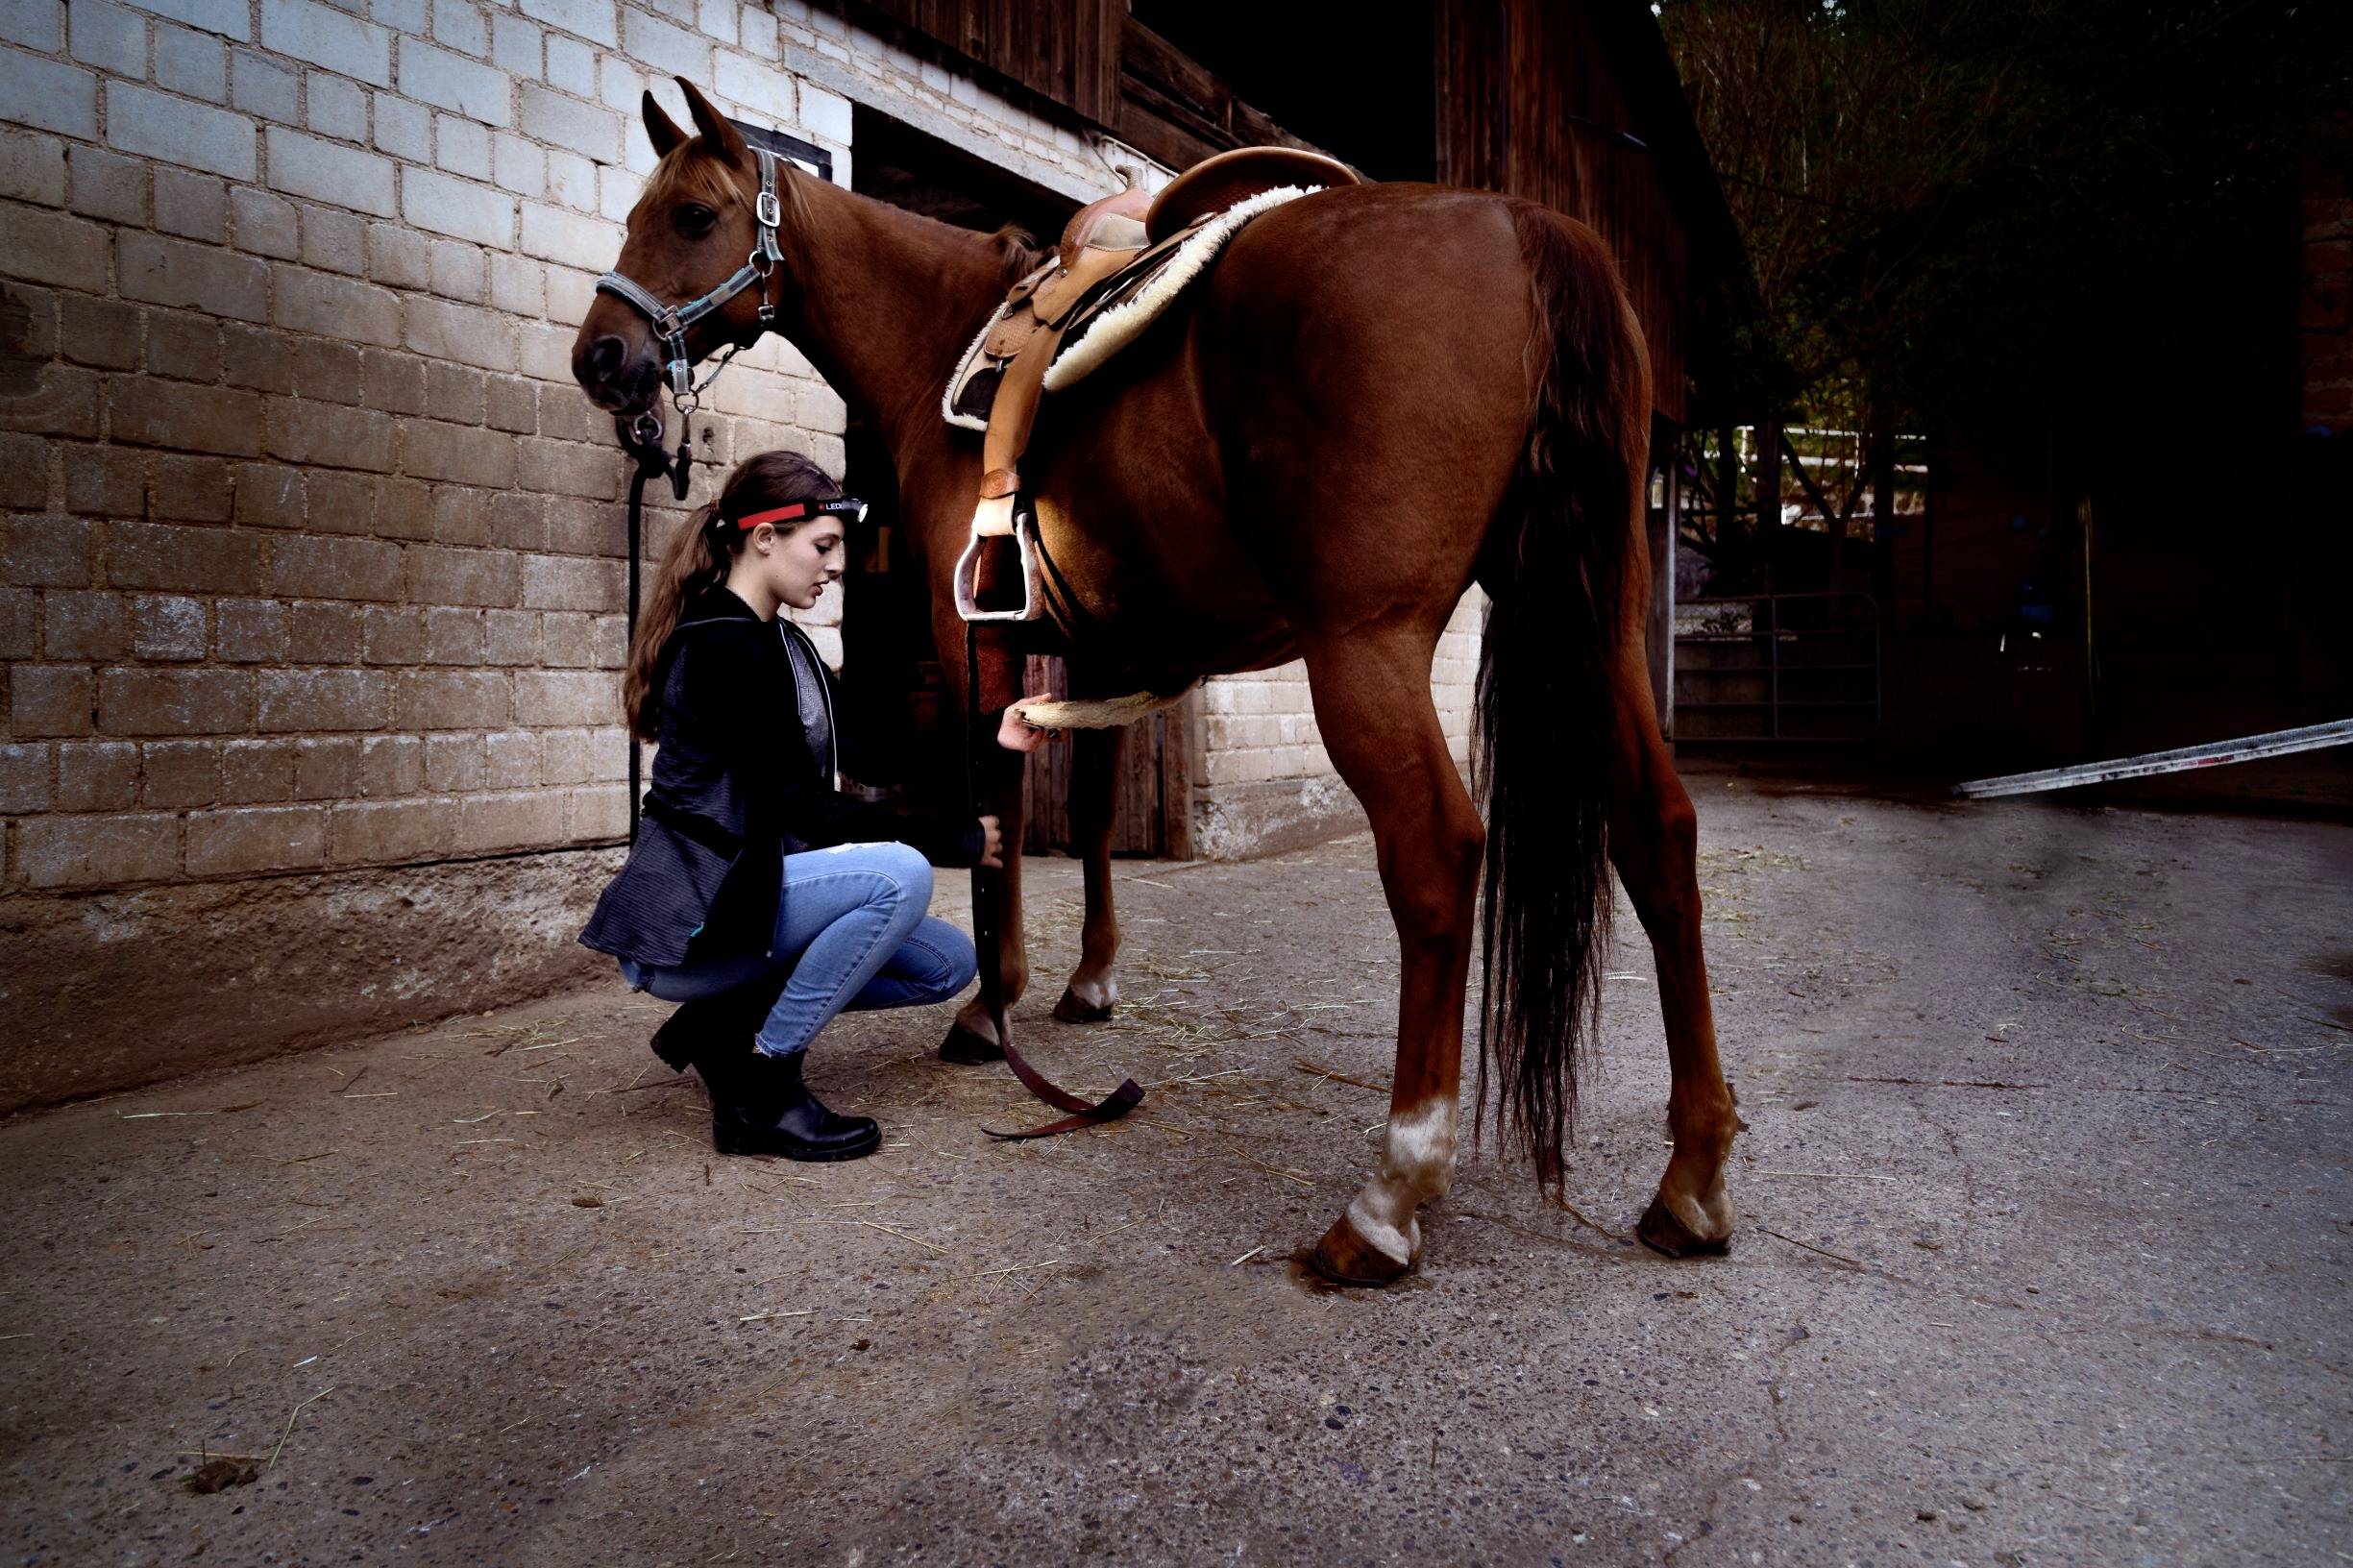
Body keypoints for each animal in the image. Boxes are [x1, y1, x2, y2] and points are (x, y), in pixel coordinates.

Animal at [571, 78, 1739, 1284]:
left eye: (693, 216)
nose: (602, 358)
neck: (940, 340)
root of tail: (1525, 226)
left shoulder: (977, 638)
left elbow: (999, 811)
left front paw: (990, 1013)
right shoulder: (1097, 646)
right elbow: (1086, 813)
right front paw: (1088, 984)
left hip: (1366, 650)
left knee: (1437, 856)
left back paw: (1388, 1197)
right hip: (1598, 625)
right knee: (1658, 832)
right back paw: (1690, 1180)